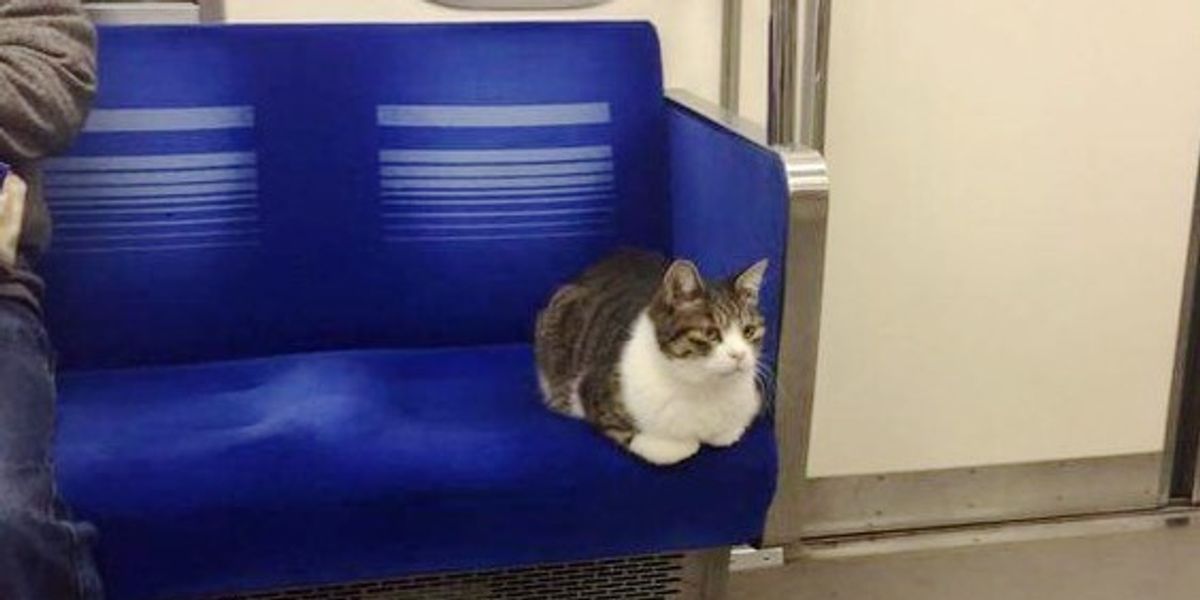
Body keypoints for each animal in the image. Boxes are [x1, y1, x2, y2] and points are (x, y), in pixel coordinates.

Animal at [535, 248, 768, 463]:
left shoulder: (750, 403)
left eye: (748, 331)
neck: (704, 386)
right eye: (711, 333)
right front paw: (679, 444)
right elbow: (659, 445)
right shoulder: (593, 388)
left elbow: (731, 431)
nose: (739, 355)